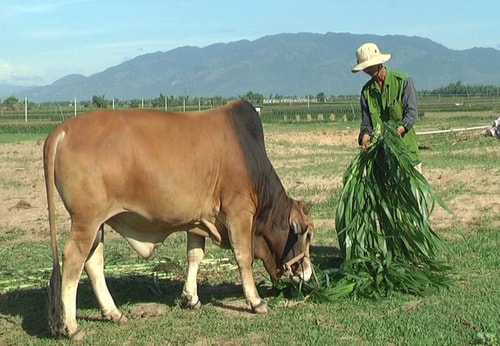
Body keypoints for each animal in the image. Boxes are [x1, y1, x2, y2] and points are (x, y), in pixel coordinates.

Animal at [45, 100, 314, 340]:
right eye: (308, 234)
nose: (308, 273)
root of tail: (63, 129)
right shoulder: (239, 213)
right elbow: (243, 257)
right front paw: (256, 301)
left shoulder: (198, 220)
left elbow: (195, 255)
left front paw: (191, 298)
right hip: (86, 221)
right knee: (73, 261)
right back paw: (72, 326)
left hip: (97, 224)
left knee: (93, 262)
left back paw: (114, 313)